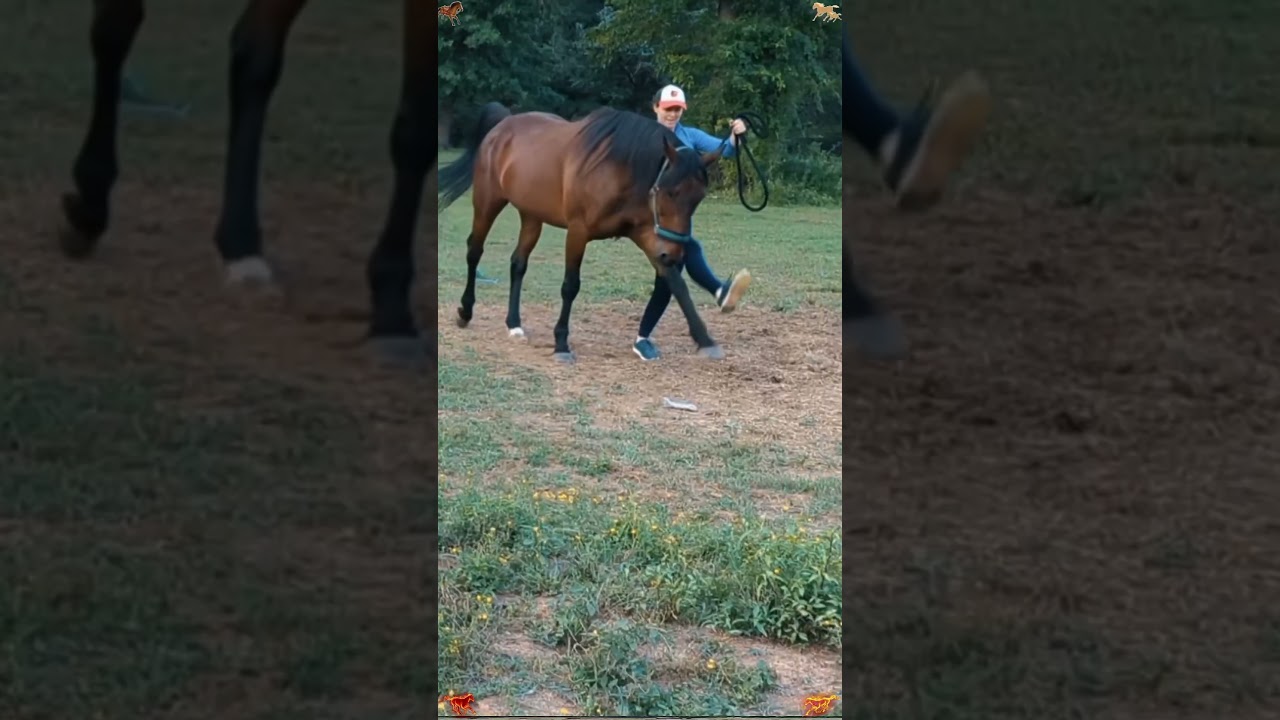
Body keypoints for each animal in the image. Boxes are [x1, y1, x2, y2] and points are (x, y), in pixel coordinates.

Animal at [58, 0, 433, 370]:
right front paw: (391, 312)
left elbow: (417, 130)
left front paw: (392, 304)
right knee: (115, 26)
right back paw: (92, 199)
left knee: (253, 53)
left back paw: (241, 247)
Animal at [438, 102, 727, 364]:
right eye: (669, 192)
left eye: (698, 198)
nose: (675, 254)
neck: (618, 169)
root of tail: (502, 126)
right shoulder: (578, 232)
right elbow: (570, 287)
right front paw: (561, 344)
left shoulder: (648, 236)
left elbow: (677, 285)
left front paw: (705, 339)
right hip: (487, 203)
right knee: (474, 251)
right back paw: (465, 311)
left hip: (532, 216)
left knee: (518, 263)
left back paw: (514, 323)